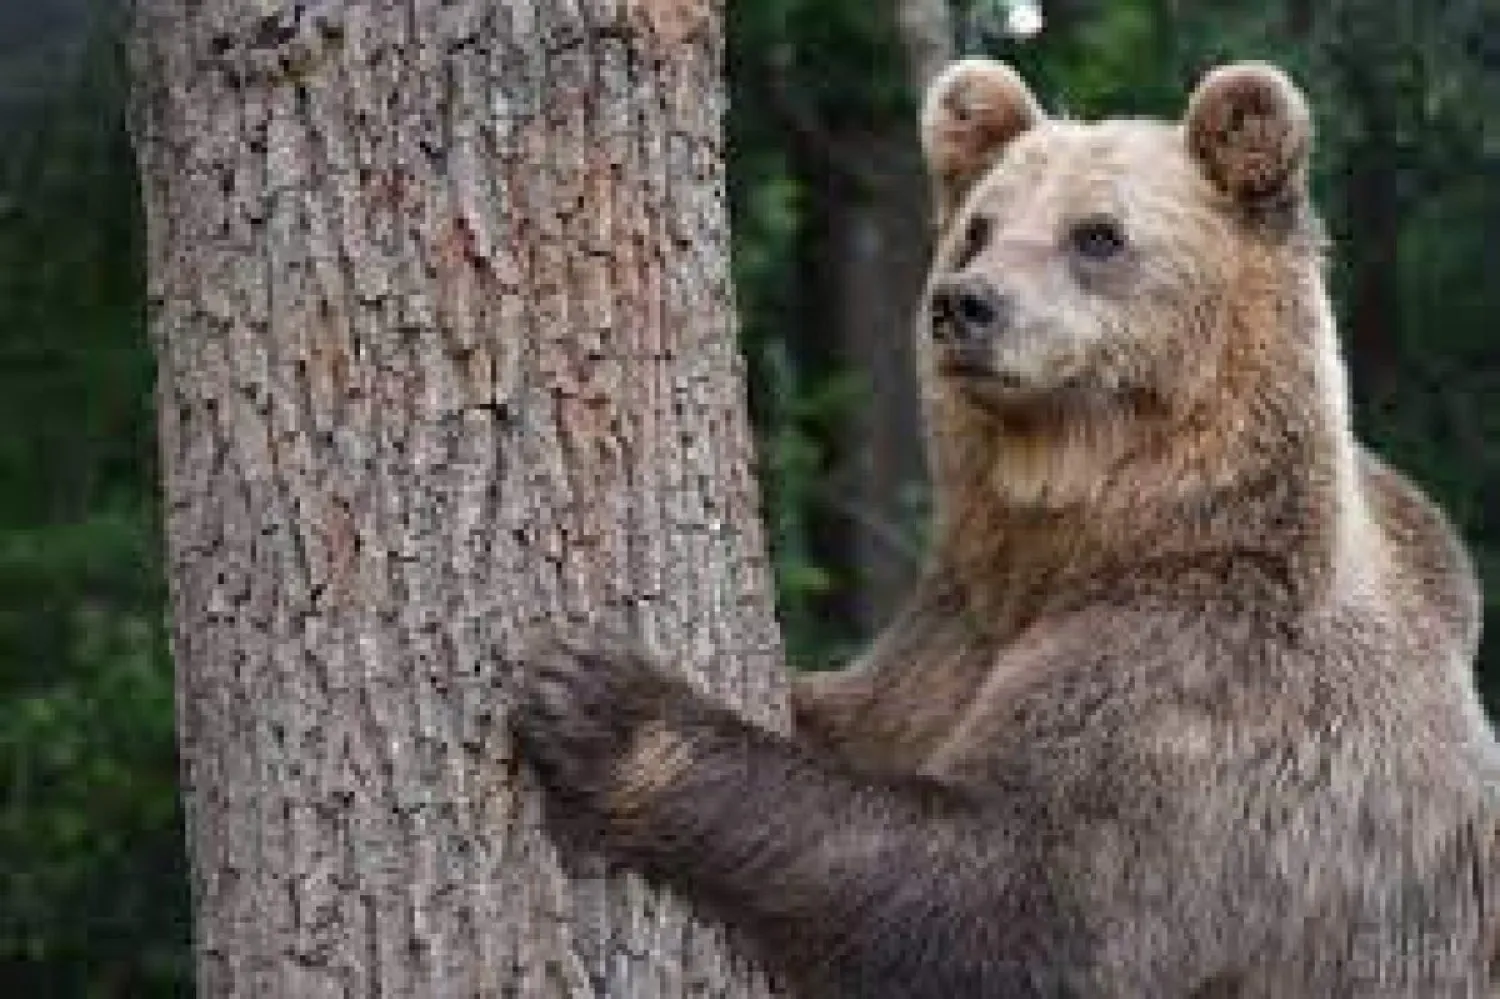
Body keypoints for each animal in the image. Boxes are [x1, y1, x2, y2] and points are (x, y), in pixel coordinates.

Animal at [513, 60, 1499, 997]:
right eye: (980, 226)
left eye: (1097, 234)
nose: (965, 304)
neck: (1087, 541)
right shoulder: (949, 637)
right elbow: (861, 714)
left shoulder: (1213, 694)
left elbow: (1022, 891)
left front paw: (604, 700)